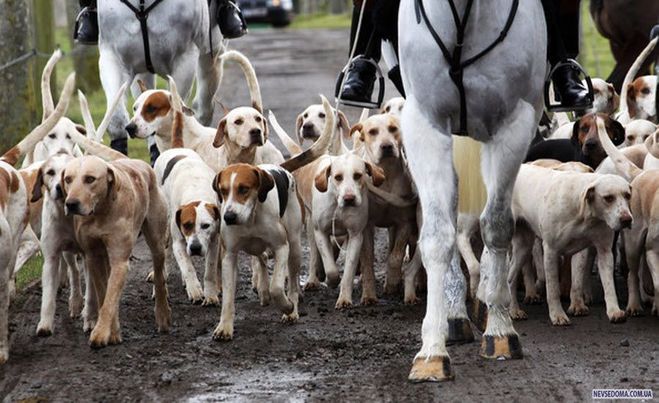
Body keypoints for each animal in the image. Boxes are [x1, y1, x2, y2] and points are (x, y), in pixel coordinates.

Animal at [398, 0, 548, 382]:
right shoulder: (425, 124)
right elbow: (437, 236)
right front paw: (431, 352)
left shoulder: (514, 125)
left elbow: (496, 226)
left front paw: (500, 329)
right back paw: (454, 316)